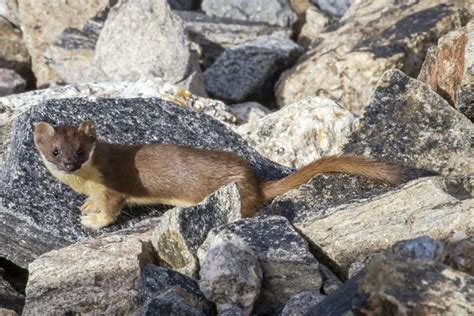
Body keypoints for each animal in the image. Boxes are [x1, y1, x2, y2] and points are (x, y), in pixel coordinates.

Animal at [32, 121, 404, 230]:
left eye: (81, 151)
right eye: (55, 151)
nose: (69, 164)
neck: (82, 181)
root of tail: (254, 180)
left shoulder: (112, 187)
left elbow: (111, 210)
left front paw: (92, 221)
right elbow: (92, 202)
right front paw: (85, 208)